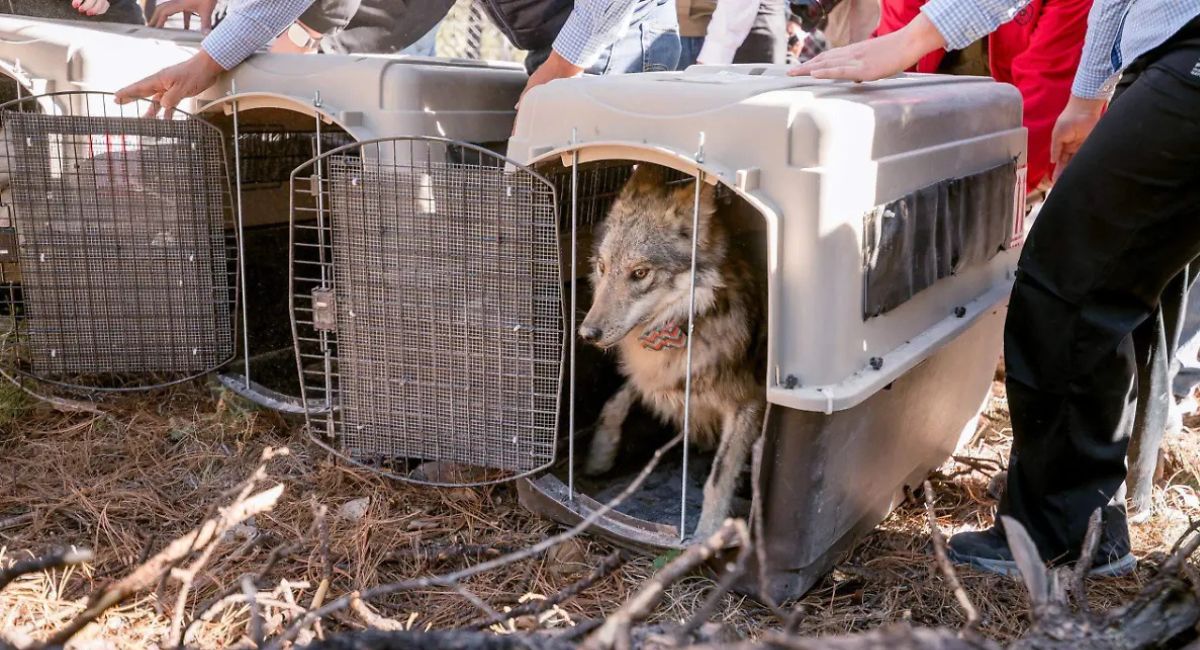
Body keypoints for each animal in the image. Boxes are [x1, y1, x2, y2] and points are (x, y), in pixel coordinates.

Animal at [578, 164, 766, 540]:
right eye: (602, 267)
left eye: (639, 273)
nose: (587, 334)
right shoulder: (658, 377)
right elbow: (613, 404)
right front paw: (598, 458)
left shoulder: (747, 405)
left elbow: (718, 477)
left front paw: (706, 536)